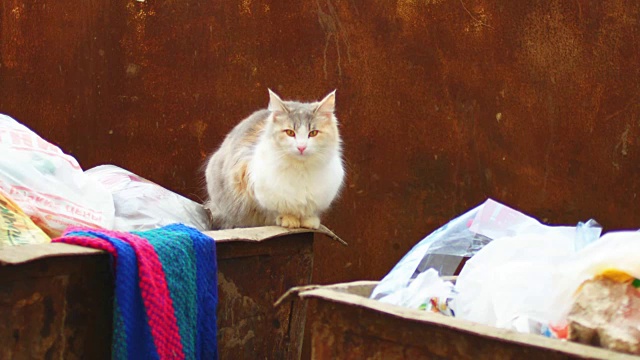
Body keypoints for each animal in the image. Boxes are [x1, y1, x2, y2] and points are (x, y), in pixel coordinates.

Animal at [204, 90, 344, 231]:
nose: (301, 147)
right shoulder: (252, 186)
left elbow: (309, 211)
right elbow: (277, 211)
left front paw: (309, 221)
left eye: (313, 133)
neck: (301, 170)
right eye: (290, 132)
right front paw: (288, 220)